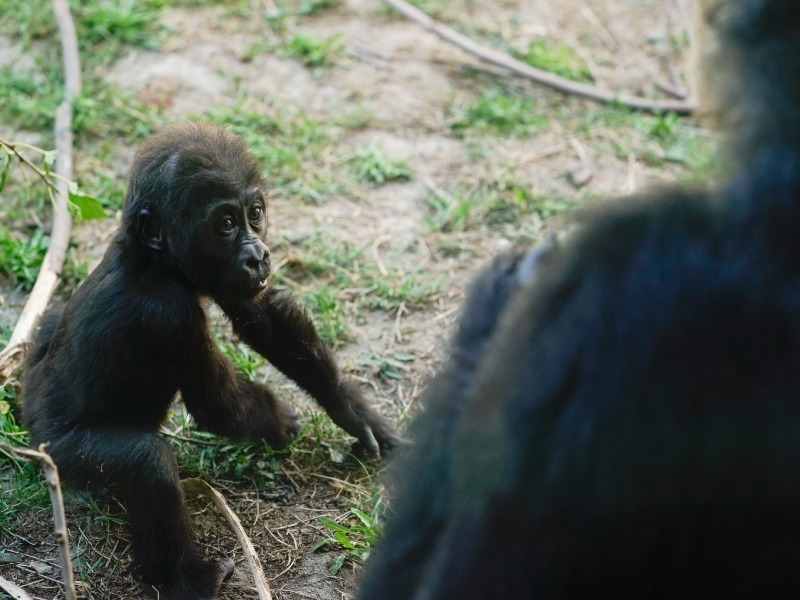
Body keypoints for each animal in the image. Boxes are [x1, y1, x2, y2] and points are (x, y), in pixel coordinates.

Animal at [24, 123, 396, 600]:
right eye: (225, 224)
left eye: (255, 213)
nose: (258, 255)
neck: (155, 263)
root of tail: (30, 421)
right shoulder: (170, 315)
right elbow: (215, 406)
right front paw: (281, 421)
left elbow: (261, 318)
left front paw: (352, 411)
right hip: (58, 453)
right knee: (146, 464)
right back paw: (187, 579)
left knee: (51, 322)